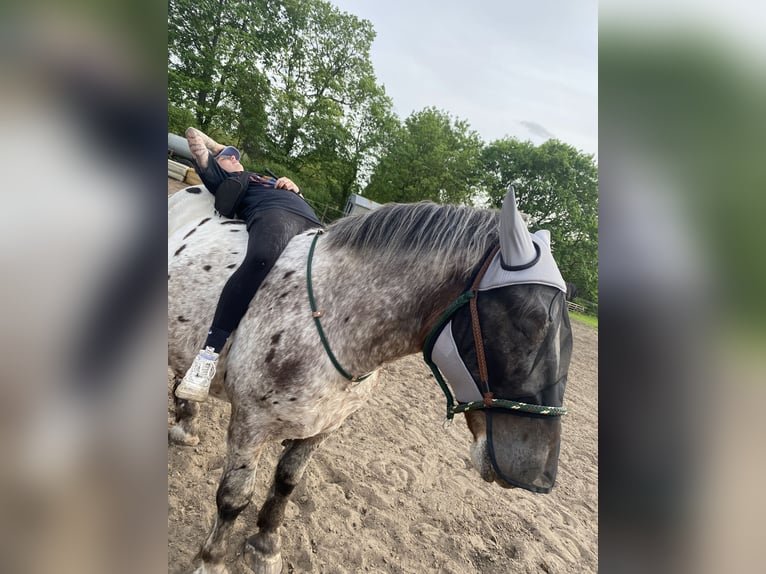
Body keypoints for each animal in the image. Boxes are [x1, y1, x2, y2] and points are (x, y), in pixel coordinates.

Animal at [170, 187, 576, 572]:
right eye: (530, 323)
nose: (539, 474)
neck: (332, 319)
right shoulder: (250, 425)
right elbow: (233, 497)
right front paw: (211, 561)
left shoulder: (324, 427)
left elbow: (286, 482)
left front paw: (267, 544)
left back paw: (185, 423)